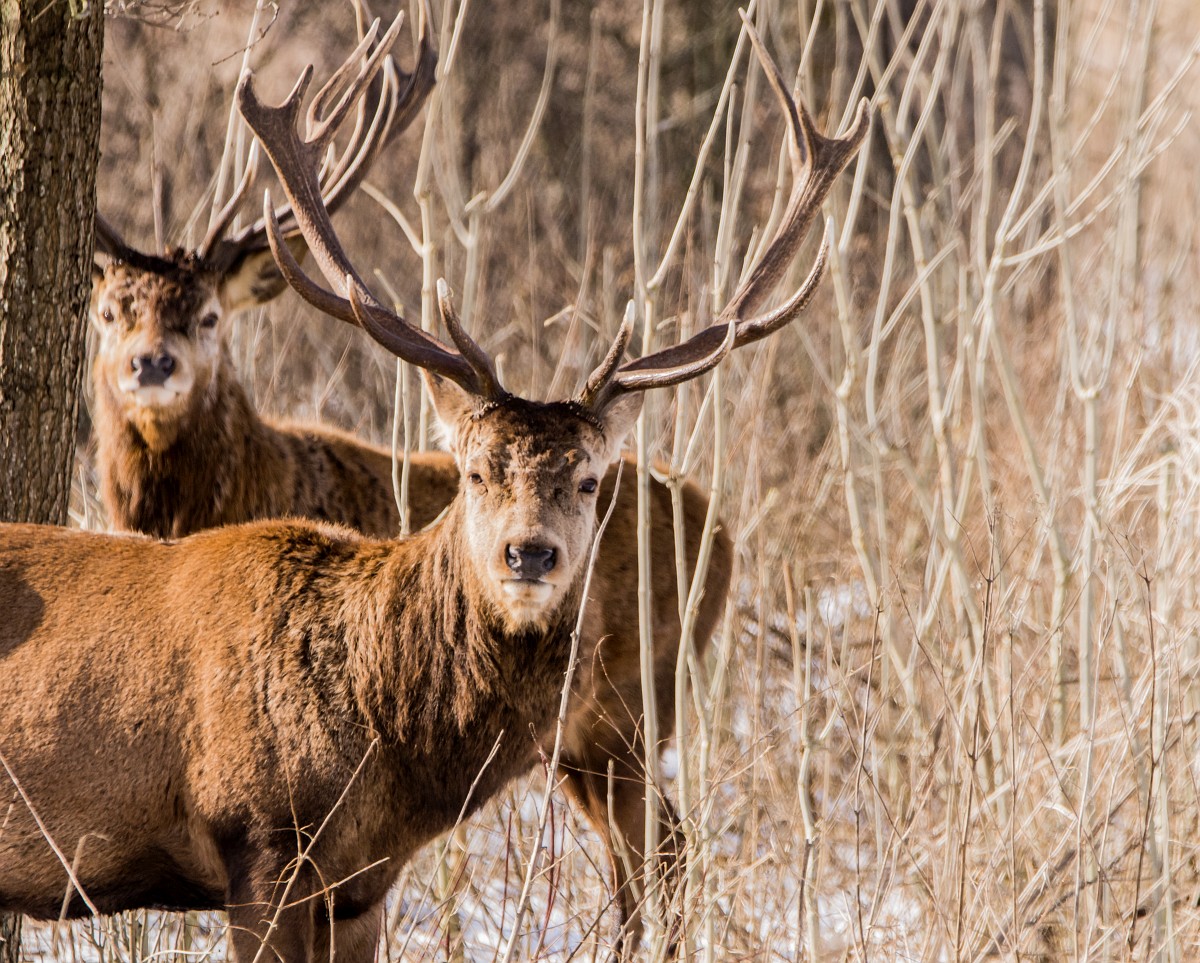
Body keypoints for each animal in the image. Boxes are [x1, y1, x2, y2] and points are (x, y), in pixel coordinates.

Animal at [0, 13, 870, 963]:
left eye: (588, 477)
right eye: (477, 468)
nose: (529, 553)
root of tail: (721, 530)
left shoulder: (358, 886)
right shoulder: (259, 837)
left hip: (626, 713)